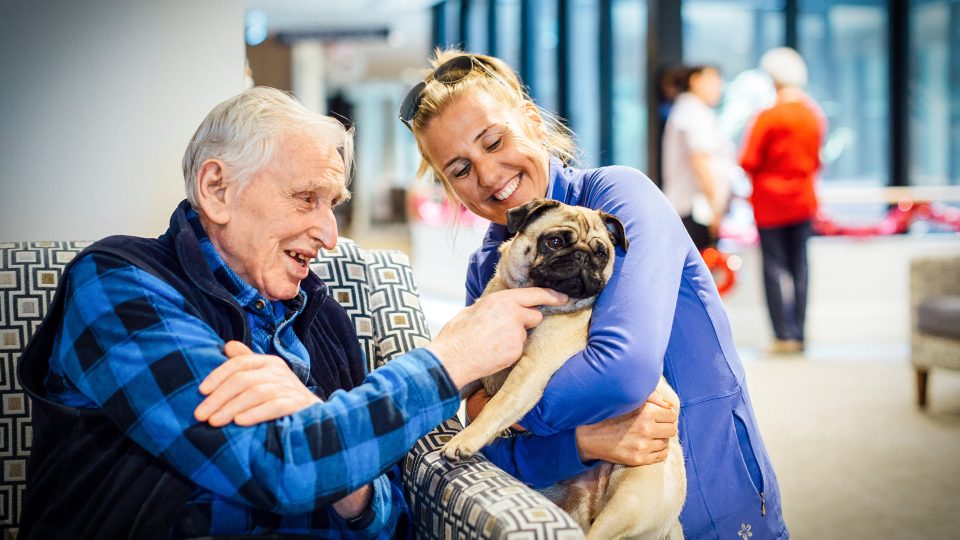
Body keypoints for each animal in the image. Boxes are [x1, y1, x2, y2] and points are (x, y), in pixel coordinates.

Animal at [446, 198, 688, 540]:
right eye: (555, 242)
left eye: (602, 253)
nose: (583, 256)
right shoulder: (478, 354)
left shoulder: (529, 372)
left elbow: (497, 407)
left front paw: (464, 440)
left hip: (629, 499)